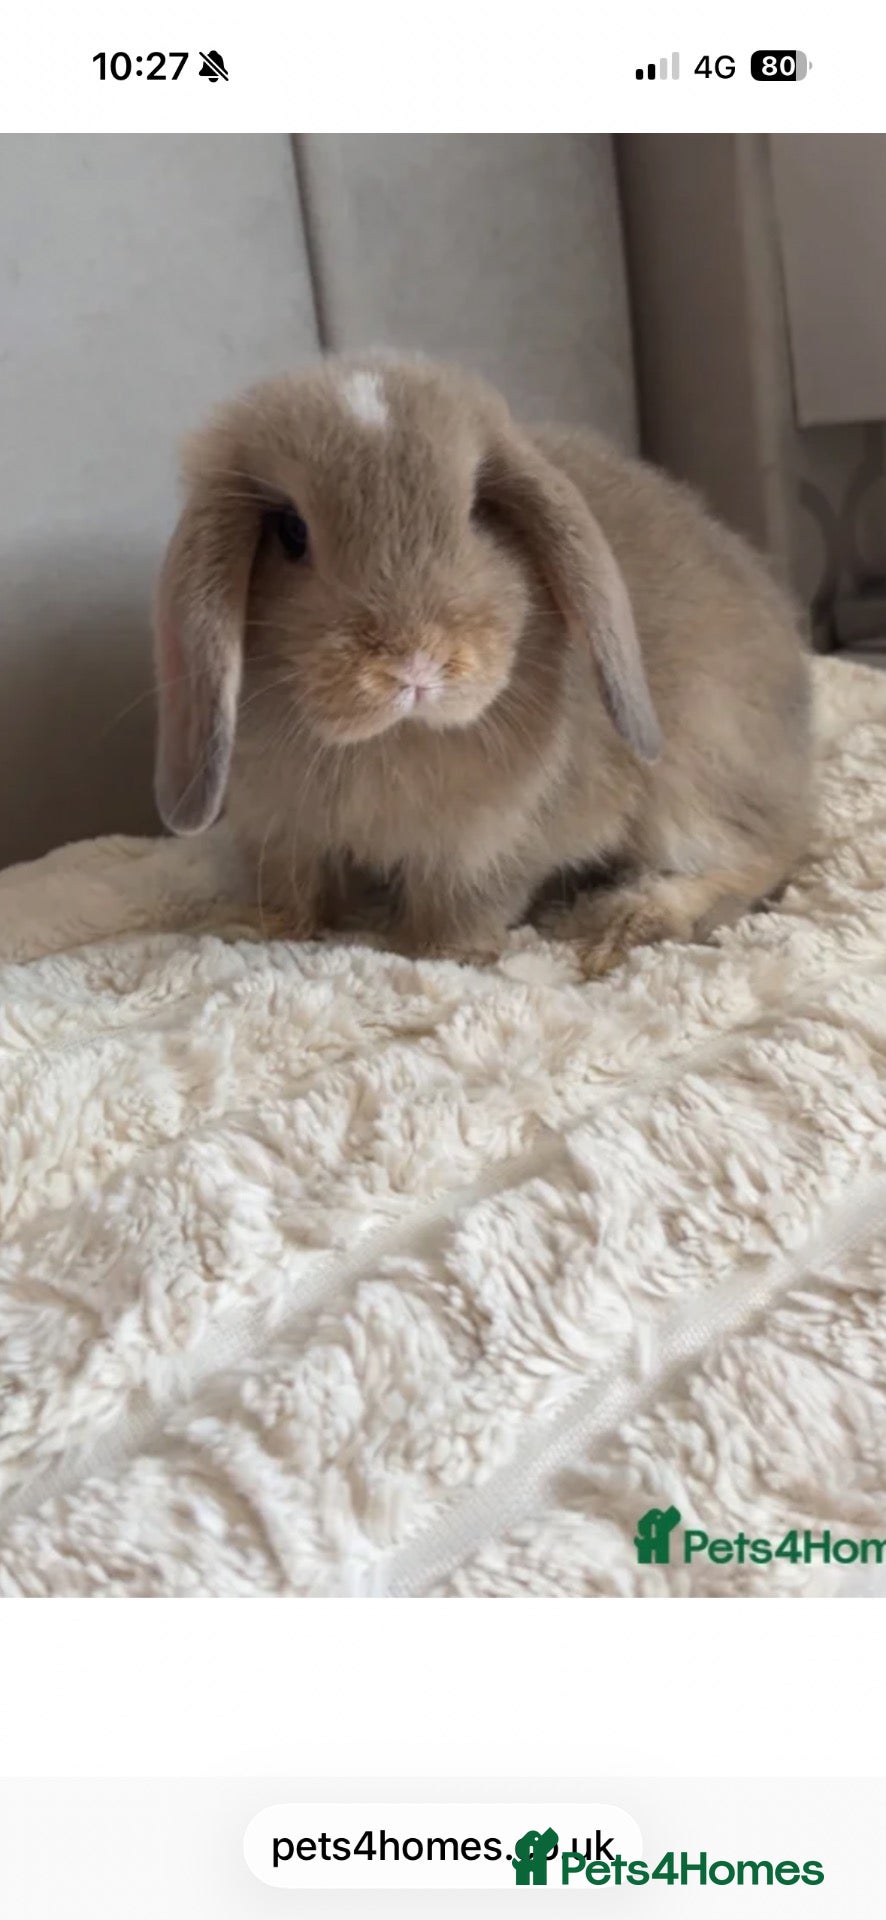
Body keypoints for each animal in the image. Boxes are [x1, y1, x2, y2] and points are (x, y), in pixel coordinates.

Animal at [153, 353, 811, 975]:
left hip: (692, 779)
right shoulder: (280, 831)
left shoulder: (489, 845)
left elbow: (462, 904)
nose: (415, 662)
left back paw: (626, 919)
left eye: (476, 514)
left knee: (764, 852)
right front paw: (249, 928)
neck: (396, 738)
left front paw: (442, 953)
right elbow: (292, 891)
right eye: (290, 531)